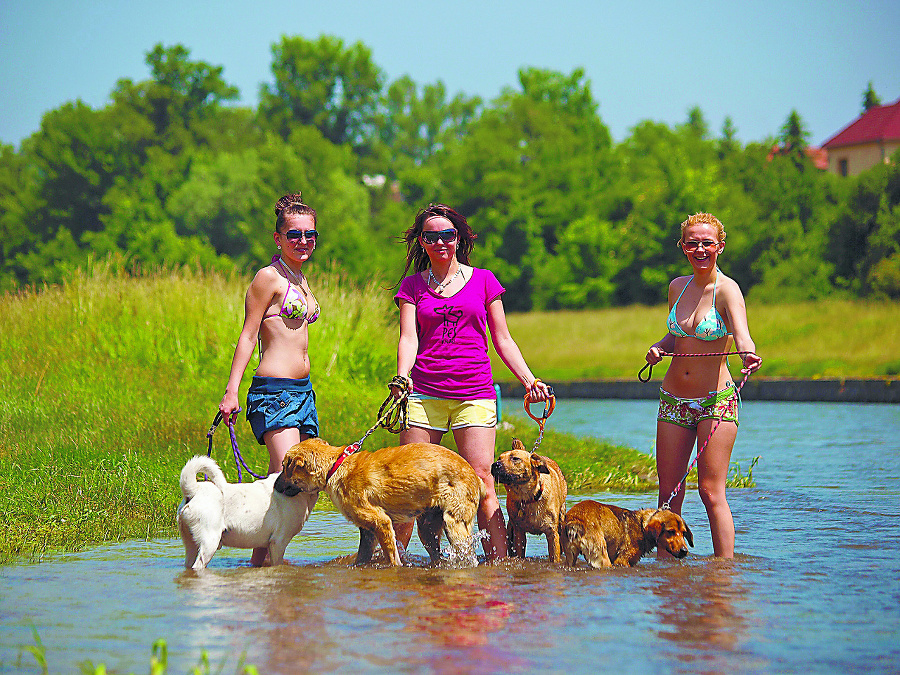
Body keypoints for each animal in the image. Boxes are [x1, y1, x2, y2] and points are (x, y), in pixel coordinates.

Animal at [274, 440, 486, 568]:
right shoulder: (367, 530)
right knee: (435, 552)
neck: (334, 468)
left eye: (284, 467)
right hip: (428, 527)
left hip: (455, 524)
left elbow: (392, 558)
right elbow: (361, 558)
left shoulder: (381, 521)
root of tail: (474, 475)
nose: (275, 486)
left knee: (468, 555)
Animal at [488, 436, 568, 564]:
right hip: (510, 530)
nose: (495, 465)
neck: (528, 497)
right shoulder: (519, 532)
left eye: (515, 458)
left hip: (561, 521)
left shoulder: (552, 533)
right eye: (499, 458)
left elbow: (555, 557)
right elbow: (520, 553)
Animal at [564, 500, 696, 568]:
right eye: (671, 532)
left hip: (570, 556)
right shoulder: (621, 561)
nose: (684, 551)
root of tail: (576, 519)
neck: (642, 524)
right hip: (602, 558)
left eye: (683, 533)